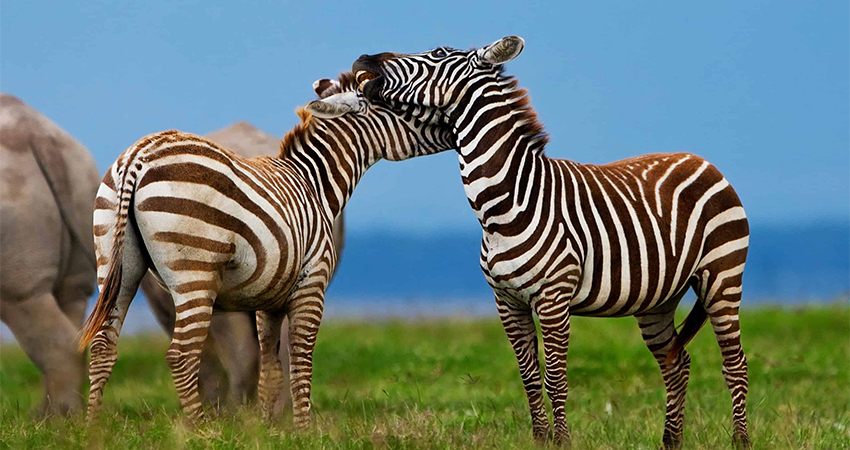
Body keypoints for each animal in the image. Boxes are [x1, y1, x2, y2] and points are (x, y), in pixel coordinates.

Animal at [77, 72, 454, 426]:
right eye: (404, 106)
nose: (451, 126)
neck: (314, 184)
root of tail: (139, 156)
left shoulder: (269, 298)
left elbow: (271, 368)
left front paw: (266, 427)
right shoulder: (311, 283)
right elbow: (300, 361)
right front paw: (303, 431)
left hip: (116, 262)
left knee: (103, 344)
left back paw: (94, 428)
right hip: (194, 272)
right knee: (181, 355)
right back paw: (201, 430)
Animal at [353, 37, 750, 449]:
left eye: (438, 54)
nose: (364, 59)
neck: (505, 203)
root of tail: (701, 160)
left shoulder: (553, 299)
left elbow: (555, 377)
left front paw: (561, 440)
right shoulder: (507, 302)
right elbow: (529, 377)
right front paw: (541, 438)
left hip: (722, 276)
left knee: (734, 364)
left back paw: (740, 440)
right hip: (657, 299)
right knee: (676, 362)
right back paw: (671, 440)